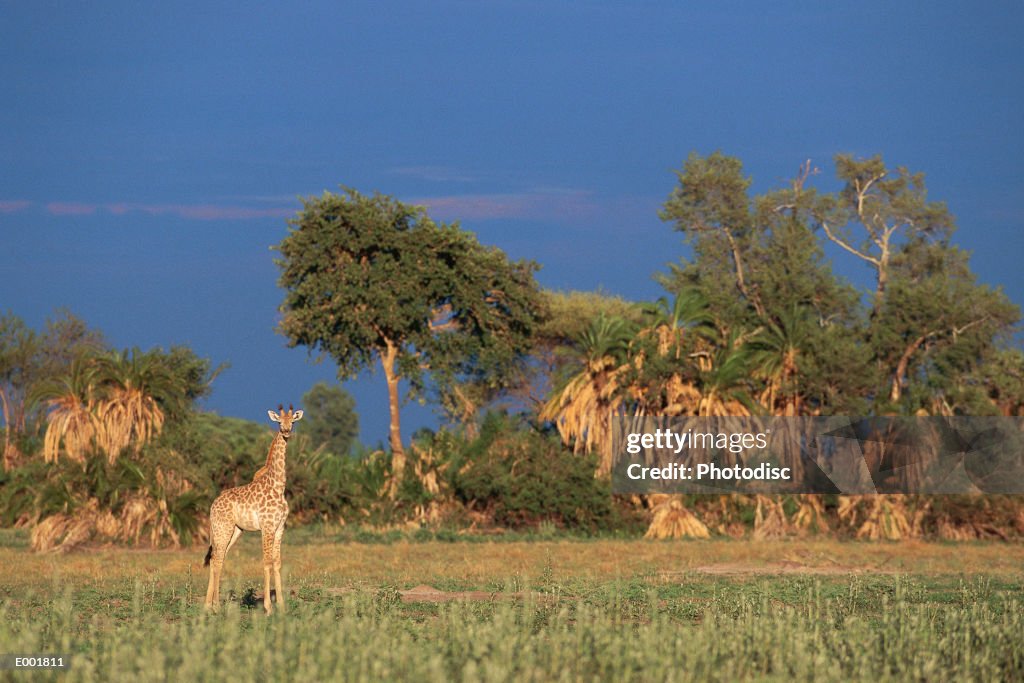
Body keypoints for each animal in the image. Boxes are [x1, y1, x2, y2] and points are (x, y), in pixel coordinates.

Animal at [201, 405, 301, 614]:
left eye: (293, 421)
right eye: (279, 421)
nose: (286, 431)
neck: (278, 486)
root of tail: (213, 505)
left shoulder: (280, 527)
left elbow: (277, 563)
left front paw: (281, 605)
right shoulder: (267, 527)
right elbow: (267, 562)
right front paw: (268, 607)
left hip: (235, 531)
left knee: (216, 559)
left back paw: (209, 605)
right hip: (223, 529)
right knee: (217, 559)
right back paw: (215, 606)